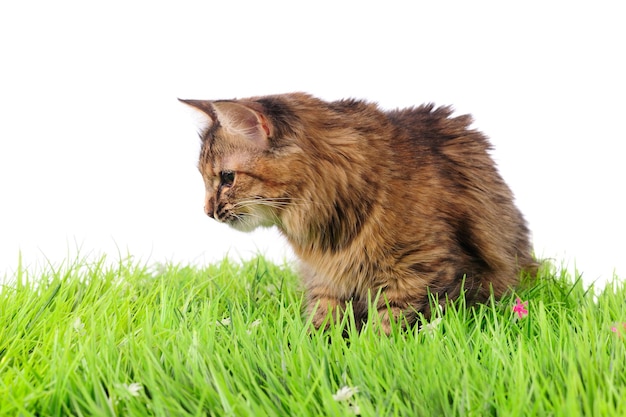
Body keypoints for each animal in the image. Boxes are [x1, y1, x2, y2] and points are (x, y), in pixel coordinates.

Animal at [180, 92, 536, 334]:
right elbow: (321, 323)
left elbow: (390, 325)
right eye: (205, 178)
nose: (208, 211)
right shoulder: (326, 277)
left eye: (227, 178)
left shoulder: (419, 269)